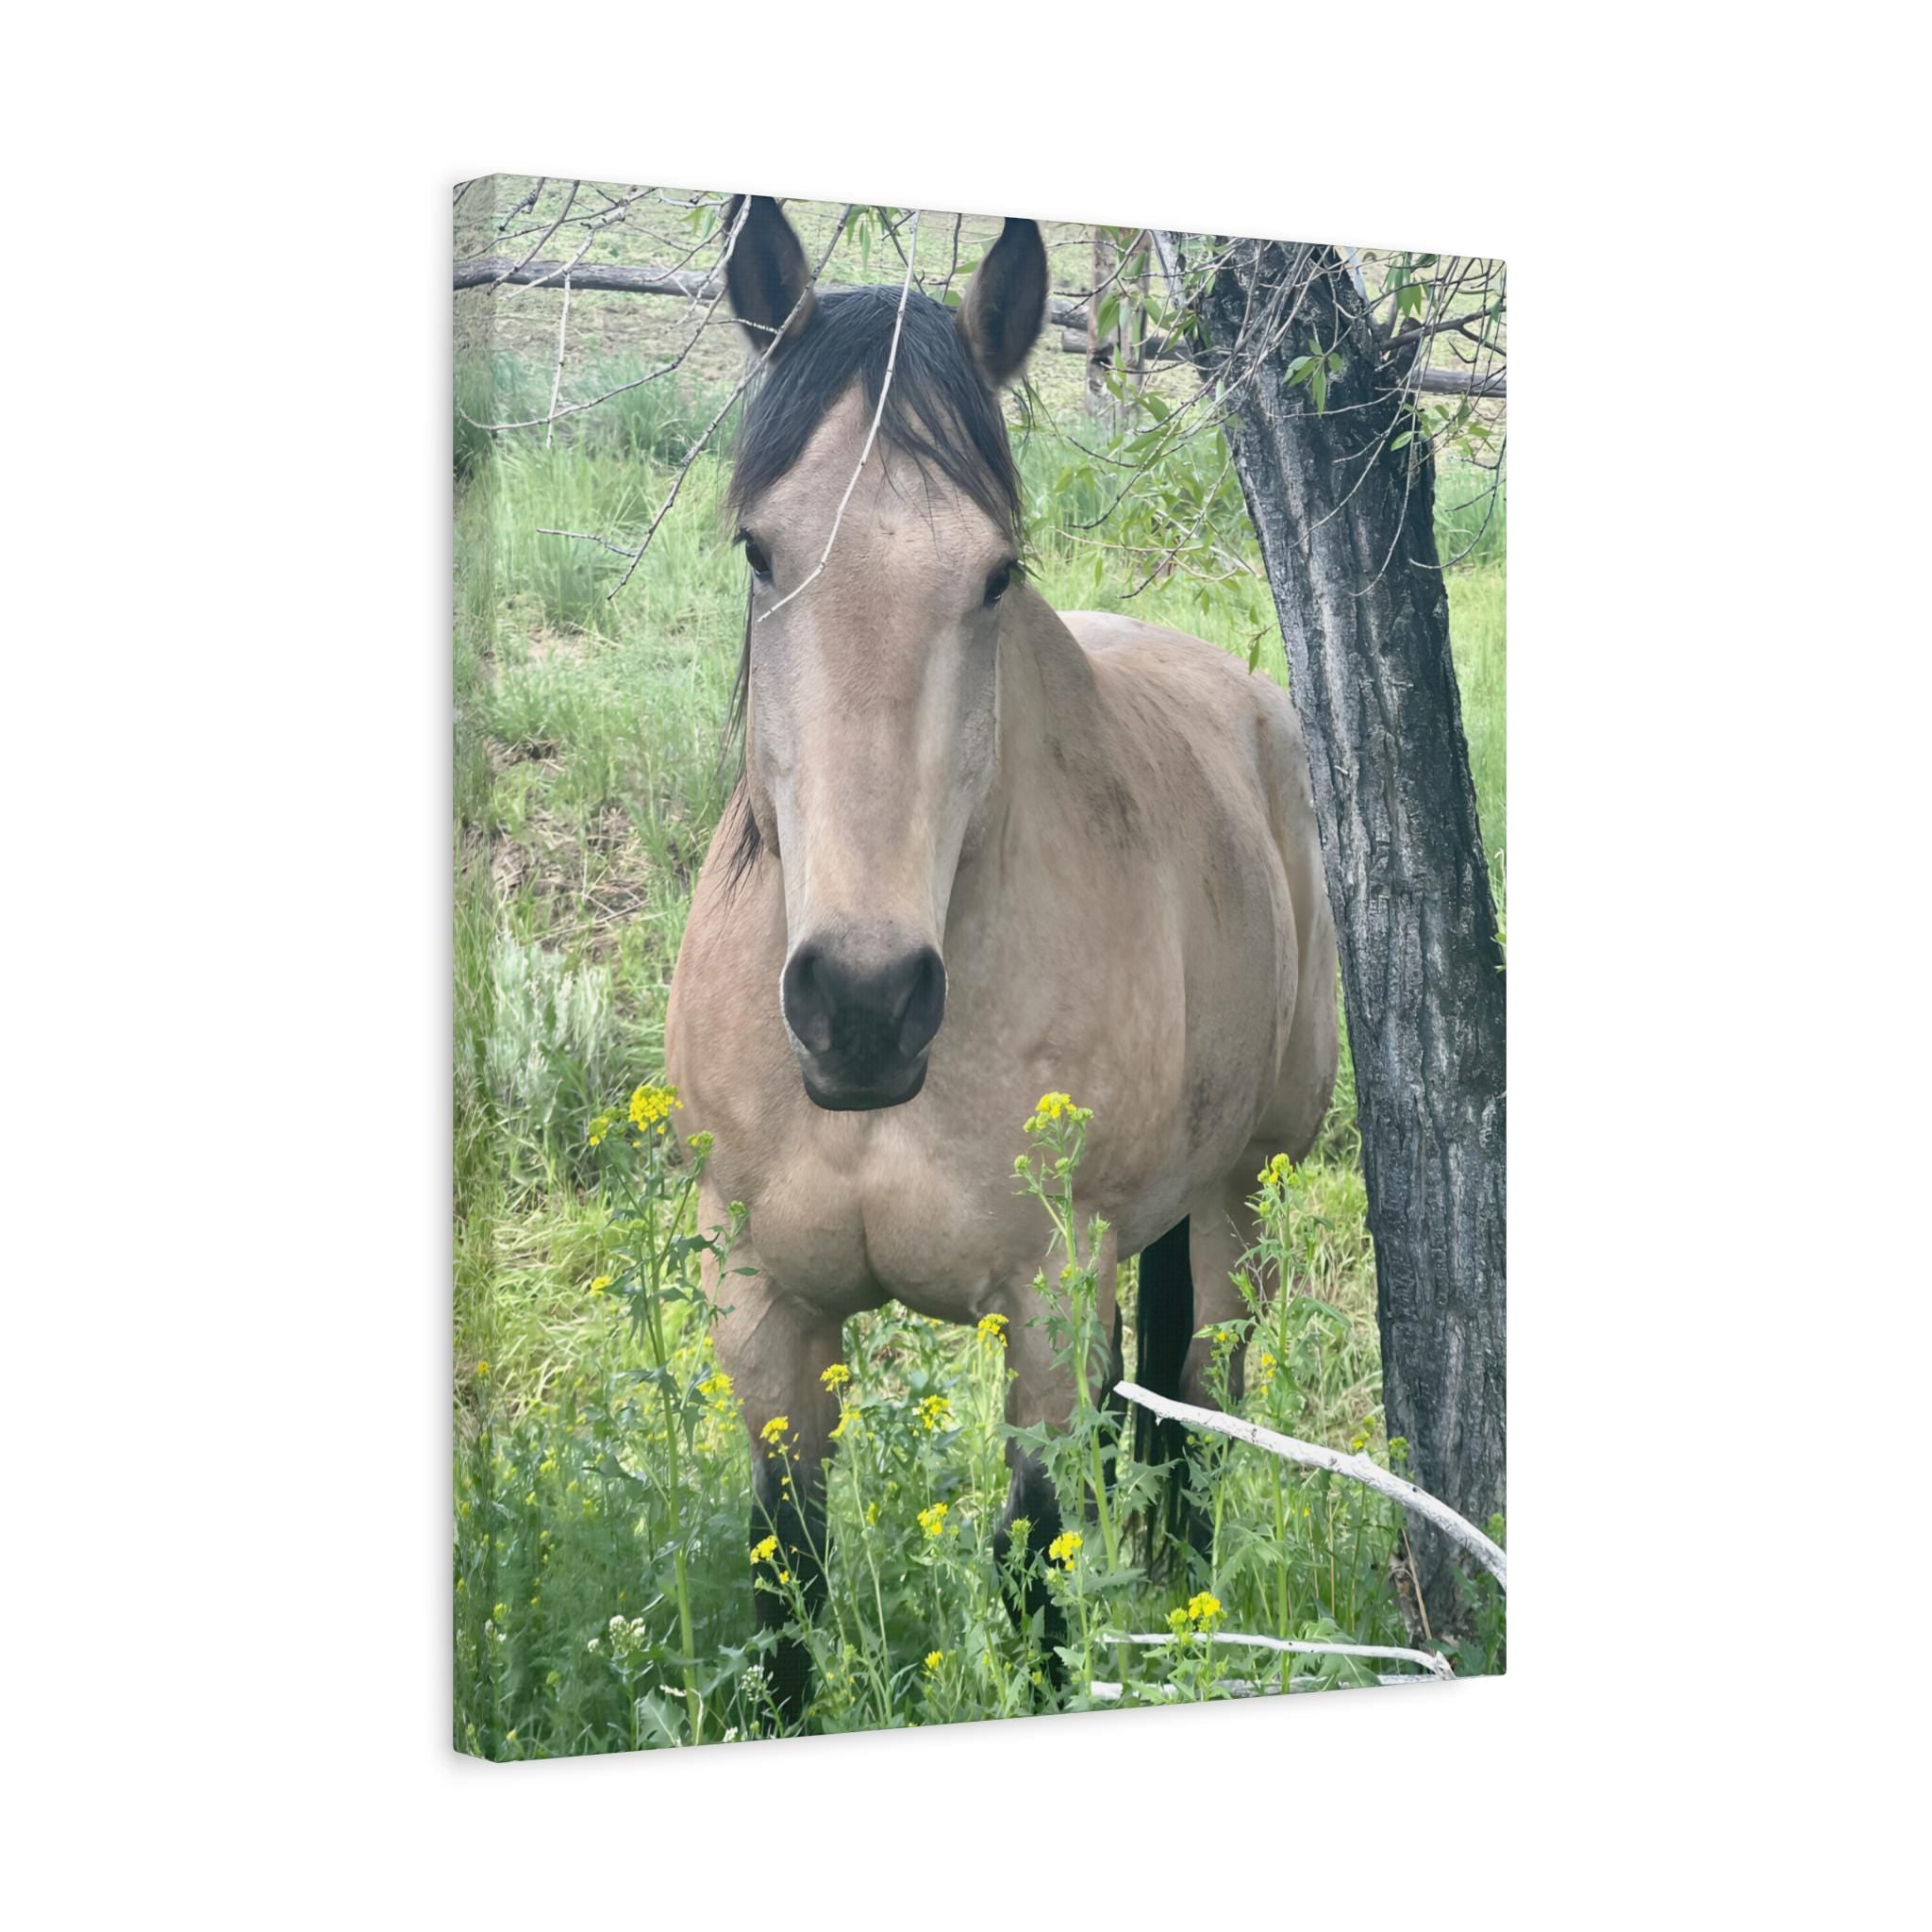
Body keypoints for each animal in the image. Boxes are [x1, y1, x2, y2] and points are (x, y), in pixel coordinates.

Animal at [665, 196, 1338, 1721]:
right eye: (759, 550)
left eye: (995, 572)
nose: (862, 1005)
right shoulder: (765, 1318)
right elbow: (784, 1590)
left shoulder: (1041, 1311)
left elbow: (1032, 1570)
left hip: (1240, 1201)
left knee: (1197, 1410)